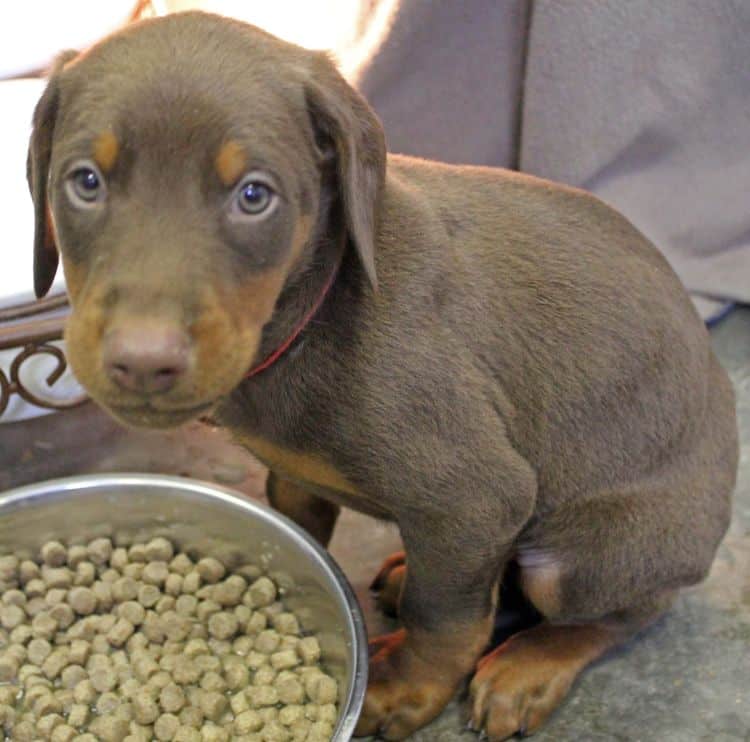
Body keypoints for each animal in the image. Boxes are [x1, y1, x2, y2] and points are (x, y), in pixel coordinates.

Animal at [29, 10, 740, 740]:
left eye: (254, 195)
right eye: (85, 181)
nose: (143, 360)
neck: (311, 315)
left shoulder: (476, 500)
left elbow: (446, 620)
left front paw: (404, 689)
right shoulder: (294, 475)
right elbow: (304, 528)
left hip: (589, 556)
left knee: (619, 611)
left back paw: (528, 666)